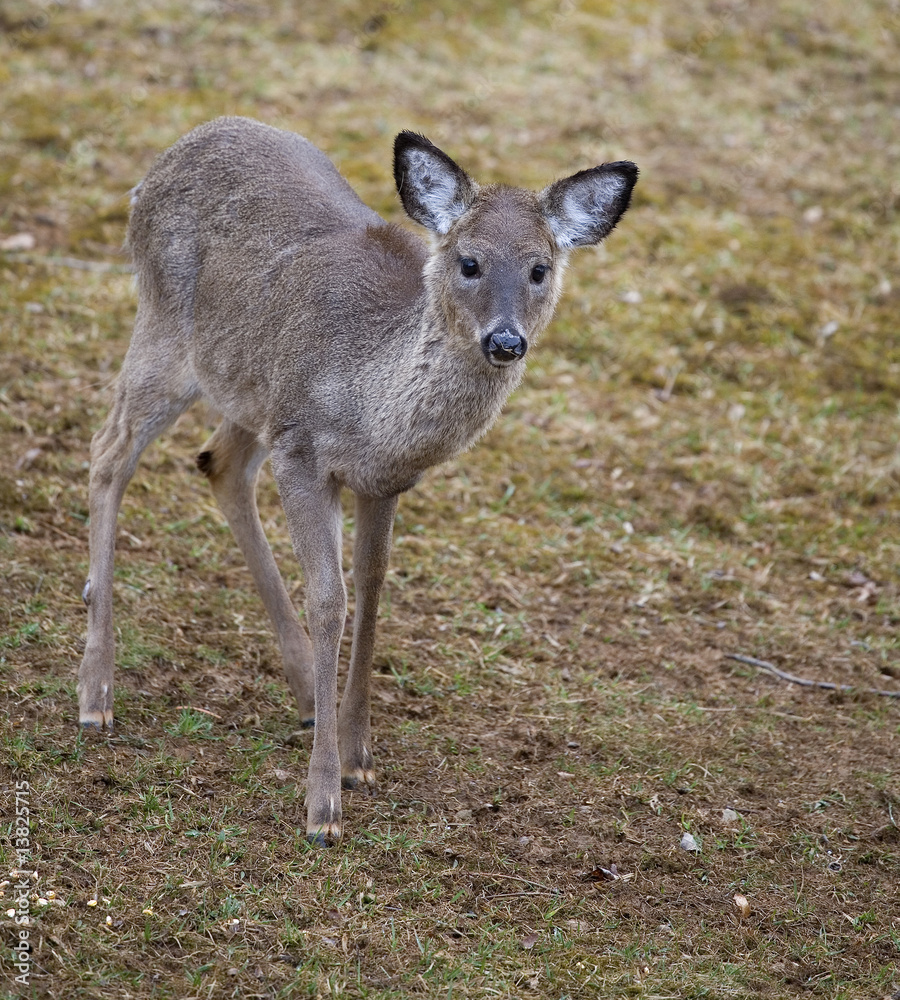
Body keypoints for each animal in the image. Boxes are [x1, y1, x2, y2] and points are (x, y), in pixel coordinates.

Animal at [77, 116, 638, 844]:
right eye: (469, 262)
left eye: (540, 269)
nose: (506, 341)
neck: (373, 405)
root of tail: (172, 154)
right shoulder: (301, 449)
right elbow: (329, 599)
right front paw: (322, 806)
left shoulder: (380, 479)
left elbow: (371, 590)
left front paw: (358, 755)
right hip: (167, 328)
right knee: (108, 452)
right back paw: (96, 694)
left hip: (249, 387)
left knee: (218, 462)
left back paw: (302, 693)